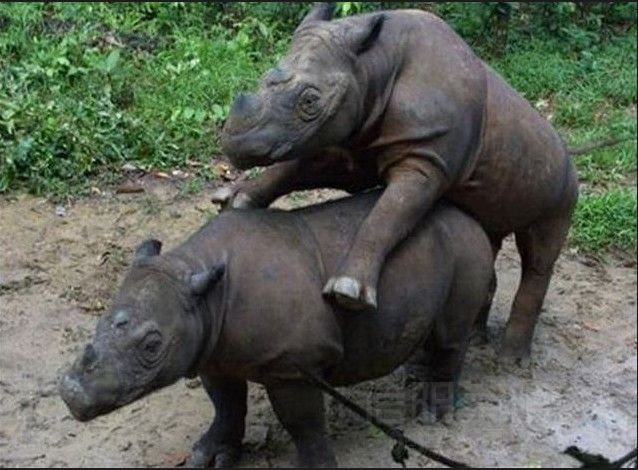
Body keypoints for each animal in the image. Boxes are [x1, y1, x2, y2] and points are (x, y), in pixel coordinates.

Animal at [60, 191, 493, 468]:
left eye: (152, 345)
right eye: (98, 324)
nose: (71, 393)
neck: (204, 293)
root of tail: (472, 219)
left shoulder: (292, 364)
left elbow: (302, 422)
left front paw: (316, 467)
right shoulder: (211, 349)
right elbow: (226, 404)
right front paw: (208, 456)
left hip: (465, 248)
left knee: (451, 335)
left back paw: (431, 414)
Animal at [217, 3, 579, 364]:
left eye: (310, 102)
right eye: (263, 80)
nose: (234, 142)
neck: (373, 65)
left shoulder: (425, 160)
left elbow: (388, 214)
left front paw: (348, 290)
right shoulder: (354, 141)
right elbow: (293, 168)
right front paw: (237, 200)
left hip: (565, 187)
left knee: (539, 255)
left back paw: (510, 360)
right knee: (489, 233)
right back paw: (476, 338)